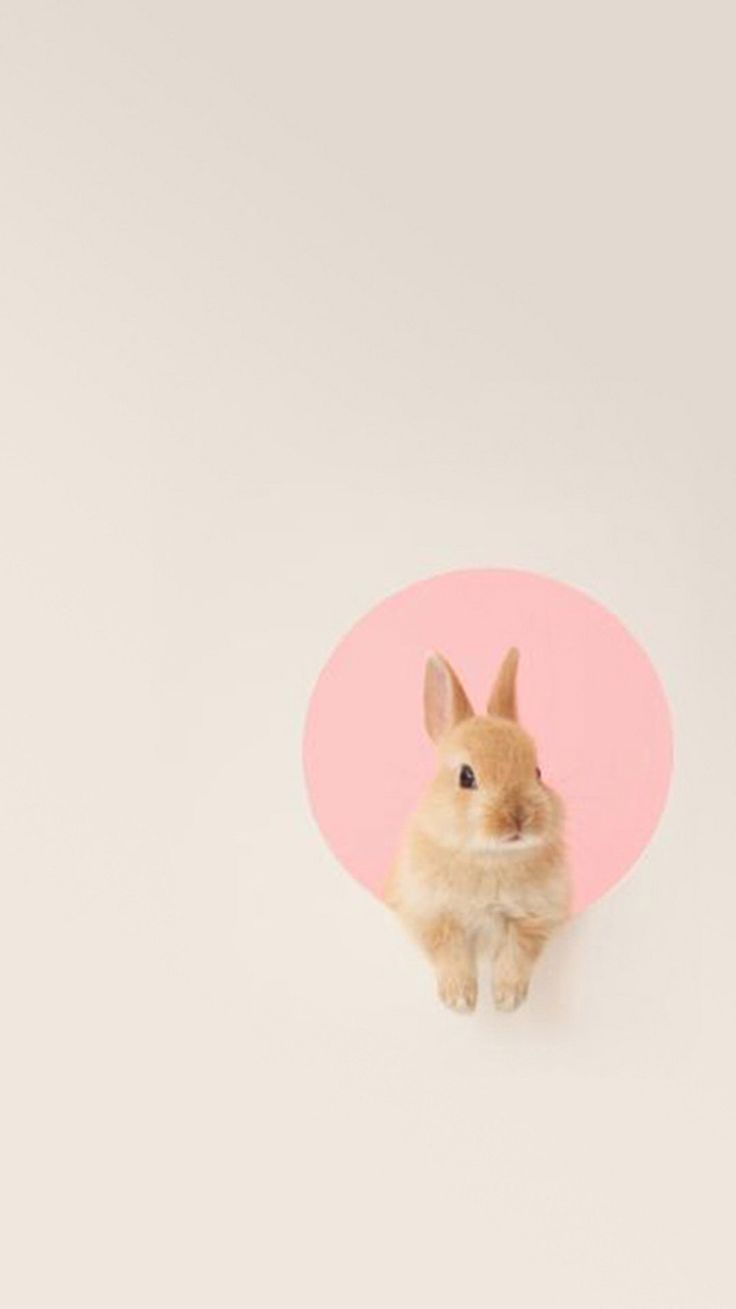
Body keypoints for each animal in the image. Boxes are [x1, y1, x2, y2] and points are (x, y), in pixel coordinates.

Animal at [384, 648, 570, 1013]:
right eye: (466, 777)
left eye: (538, 772)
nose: (518, 817)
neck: (489, 857)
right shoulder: (430, 912)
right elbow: (448, 946)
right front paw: (460, 1001)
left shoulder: (537, 915)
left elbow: (518, 948)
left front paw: (507, 1001)